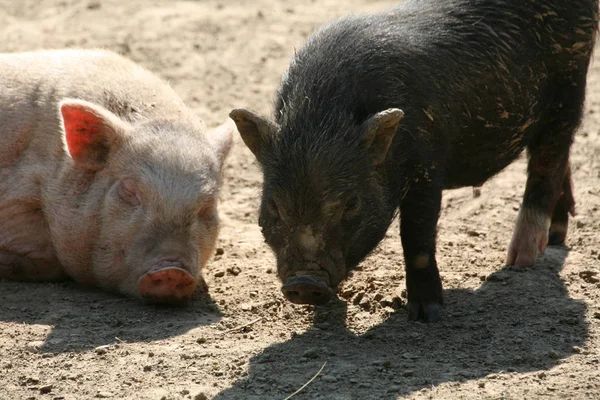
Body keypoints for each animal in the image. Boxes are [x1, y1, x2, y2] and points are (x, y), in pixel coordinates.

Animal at [231, 0, 600, 320]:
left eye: (352, 204)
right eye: (273, 205)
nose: (305, 283)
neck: (321, 114)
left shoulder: (427, 164)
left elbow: (416, 236)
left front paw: (427, 314)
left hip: (570, 85)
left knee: (548, 161)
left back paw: (519, 261)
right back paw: (556, 237)